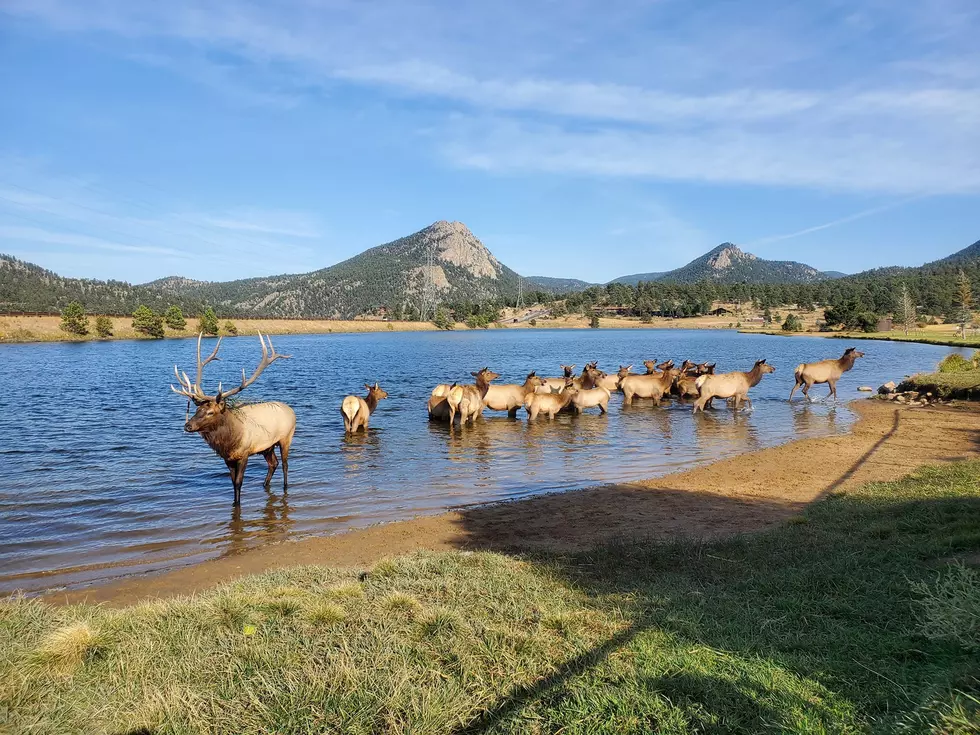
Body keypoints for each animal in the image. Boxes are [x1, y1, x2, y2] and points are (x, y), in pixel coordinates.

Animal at [171, 332, 294, 506]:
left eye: (210, 412)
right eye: (197, 409)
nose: (187, 425)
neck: (229, 440)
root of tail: (291, 410)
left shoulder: (244, 453)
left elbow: (238, 482)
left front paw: (237, 504)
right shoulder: (227, 458)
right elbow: (232, 482)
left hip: (286, 438)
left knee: (284, 464)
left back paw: (285, 487)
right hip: (267, 446)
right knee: (273, 463)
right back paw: (265, 484)